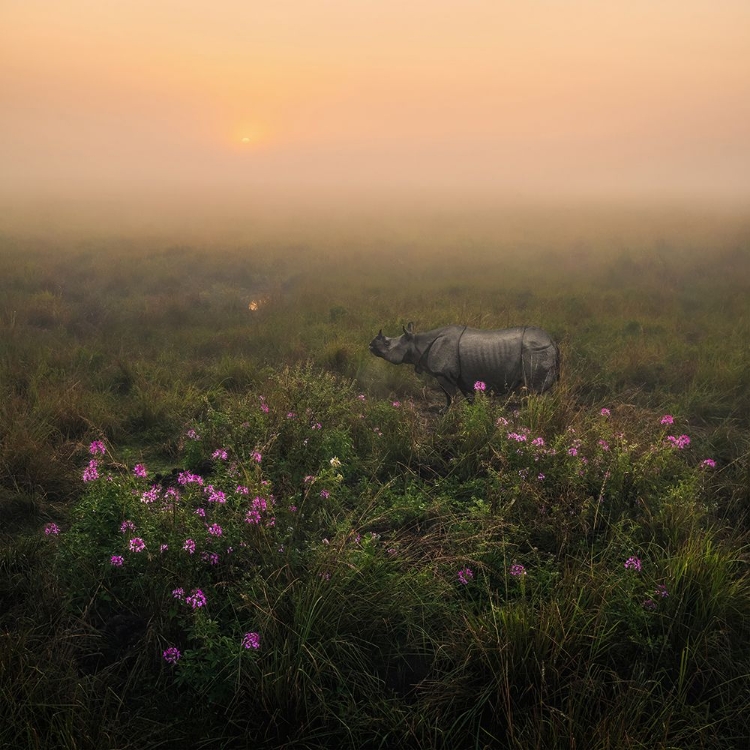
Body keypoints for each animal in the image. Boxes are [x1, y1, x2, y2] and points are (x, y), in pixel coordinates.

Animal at [370, 324, 560, 412]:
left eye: (386, 344)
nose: (371, 345)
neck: (417, 343)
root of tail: (552, 341)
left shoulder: (443, 374)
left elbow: (450, 395)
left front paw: (447, 412)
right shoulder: (461, 376)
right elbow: (464, 395)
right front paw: (471, 410)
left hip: (535, 350)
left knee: (534, 389)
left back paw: (530, 411)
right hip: (539, 349)